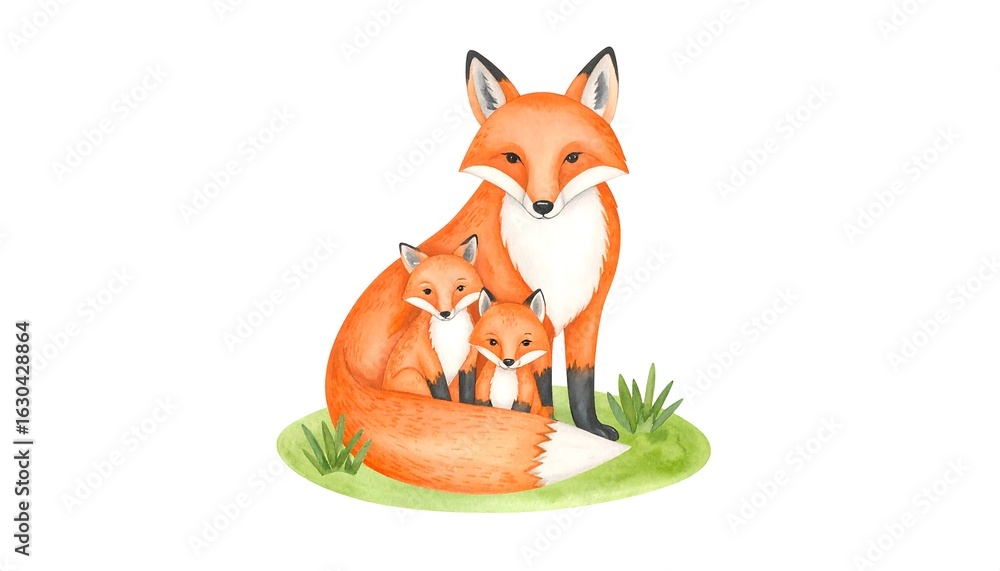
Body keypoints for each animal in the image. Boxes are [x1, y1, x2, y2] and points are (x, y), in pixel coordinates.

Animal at [382, 236, 482, 403]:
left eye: (460, 288)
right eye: (427, 291)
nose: (445, 313)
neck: (451, 337)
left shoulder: (469, 362)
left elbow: (467, 394)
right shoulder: (430, 362)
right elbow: (442, 396)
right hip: (413, 377)